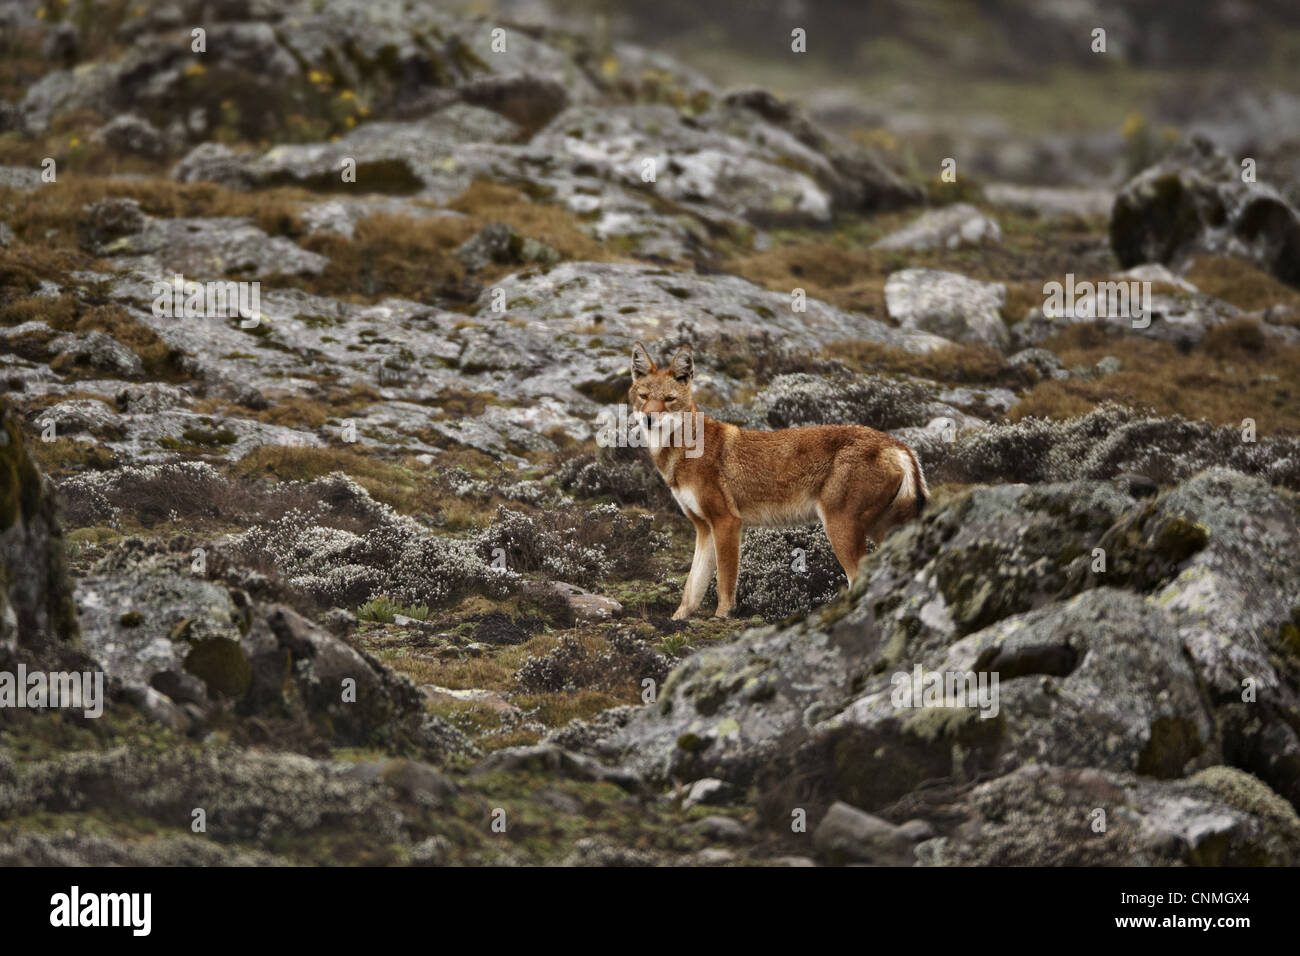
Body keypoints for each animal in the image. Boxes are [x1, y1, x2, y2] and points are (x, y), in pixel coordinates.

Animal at [626, 343, 925, 621]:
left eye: (669, 399)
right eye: (644, 397)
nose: (649, 419)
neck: (684, 451)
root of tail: (900, 446)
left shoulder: (727, 522)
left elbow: (725, 583)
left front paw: (722, 616)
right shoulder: (703, 528)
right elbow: (691, 589)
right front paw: (678, 620)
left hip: (840, 529)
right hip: (878, 531)